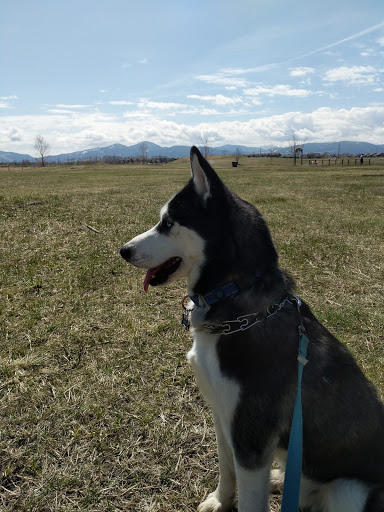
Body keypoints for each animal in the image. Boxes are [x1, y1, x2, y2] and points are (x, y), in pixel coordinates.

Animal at [121, 146, 384, 510]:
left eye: (168, 223)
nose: (123, 251)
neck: (235, 298)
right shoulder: (223, 416)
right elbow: (225, 467)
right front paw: (220, 500)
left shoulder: (251, 436)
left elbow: (248, 496)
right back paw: (280, 480)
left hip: (349, 490)